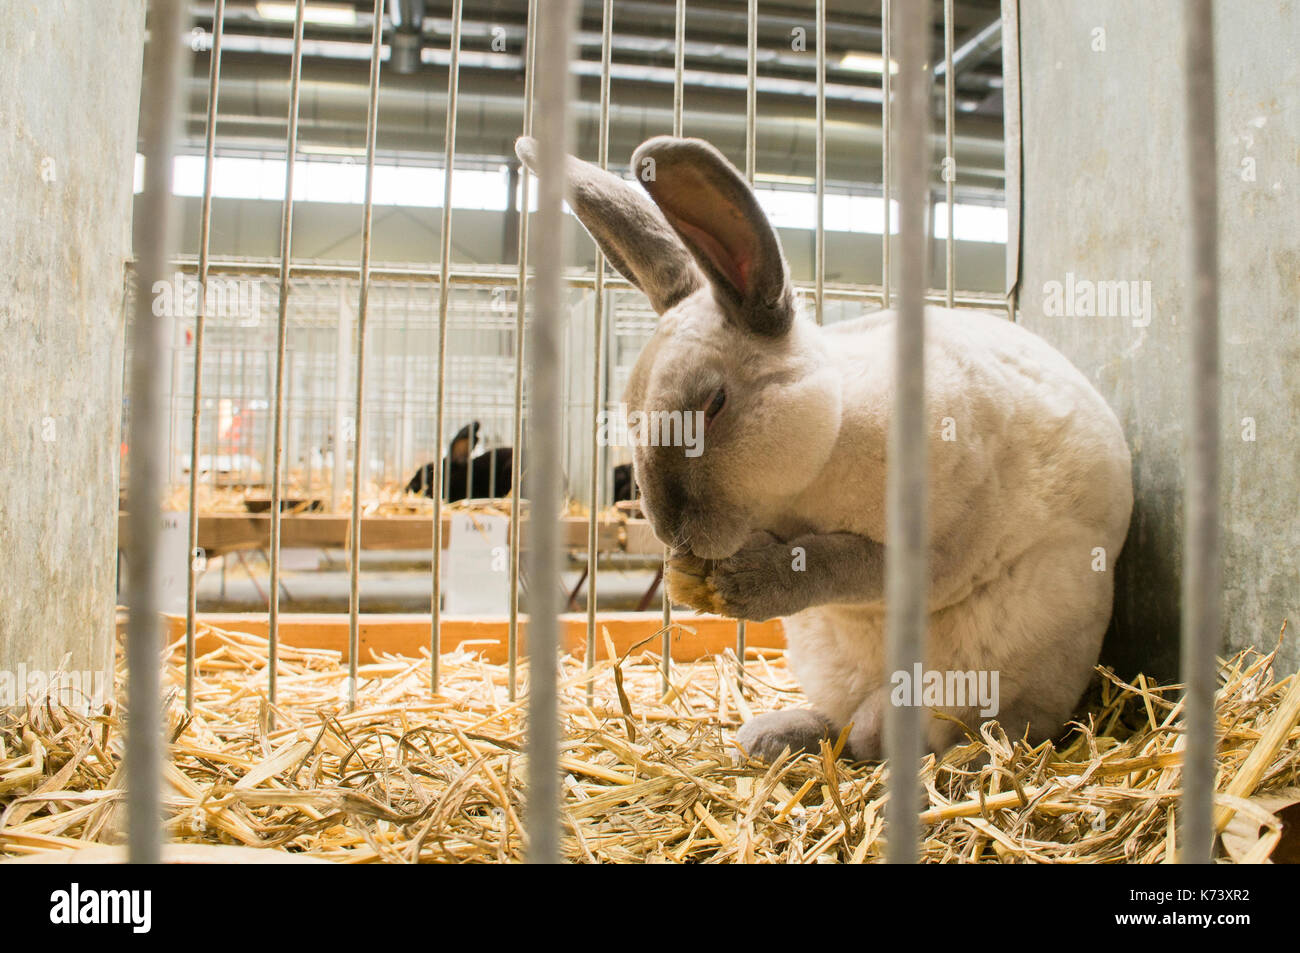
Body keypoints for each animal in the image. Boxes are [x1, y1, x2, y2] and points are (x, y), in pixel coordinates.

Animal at [512, 133, 1133, 764]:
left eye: (714, 404)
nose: (670, 532)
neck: (821, 457)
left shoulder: (935, 546)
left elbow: (842, 562)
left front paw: (744, 581)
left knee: (982, 728)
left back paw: (976, 755)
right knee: (846, 729)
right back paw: (775, 734)